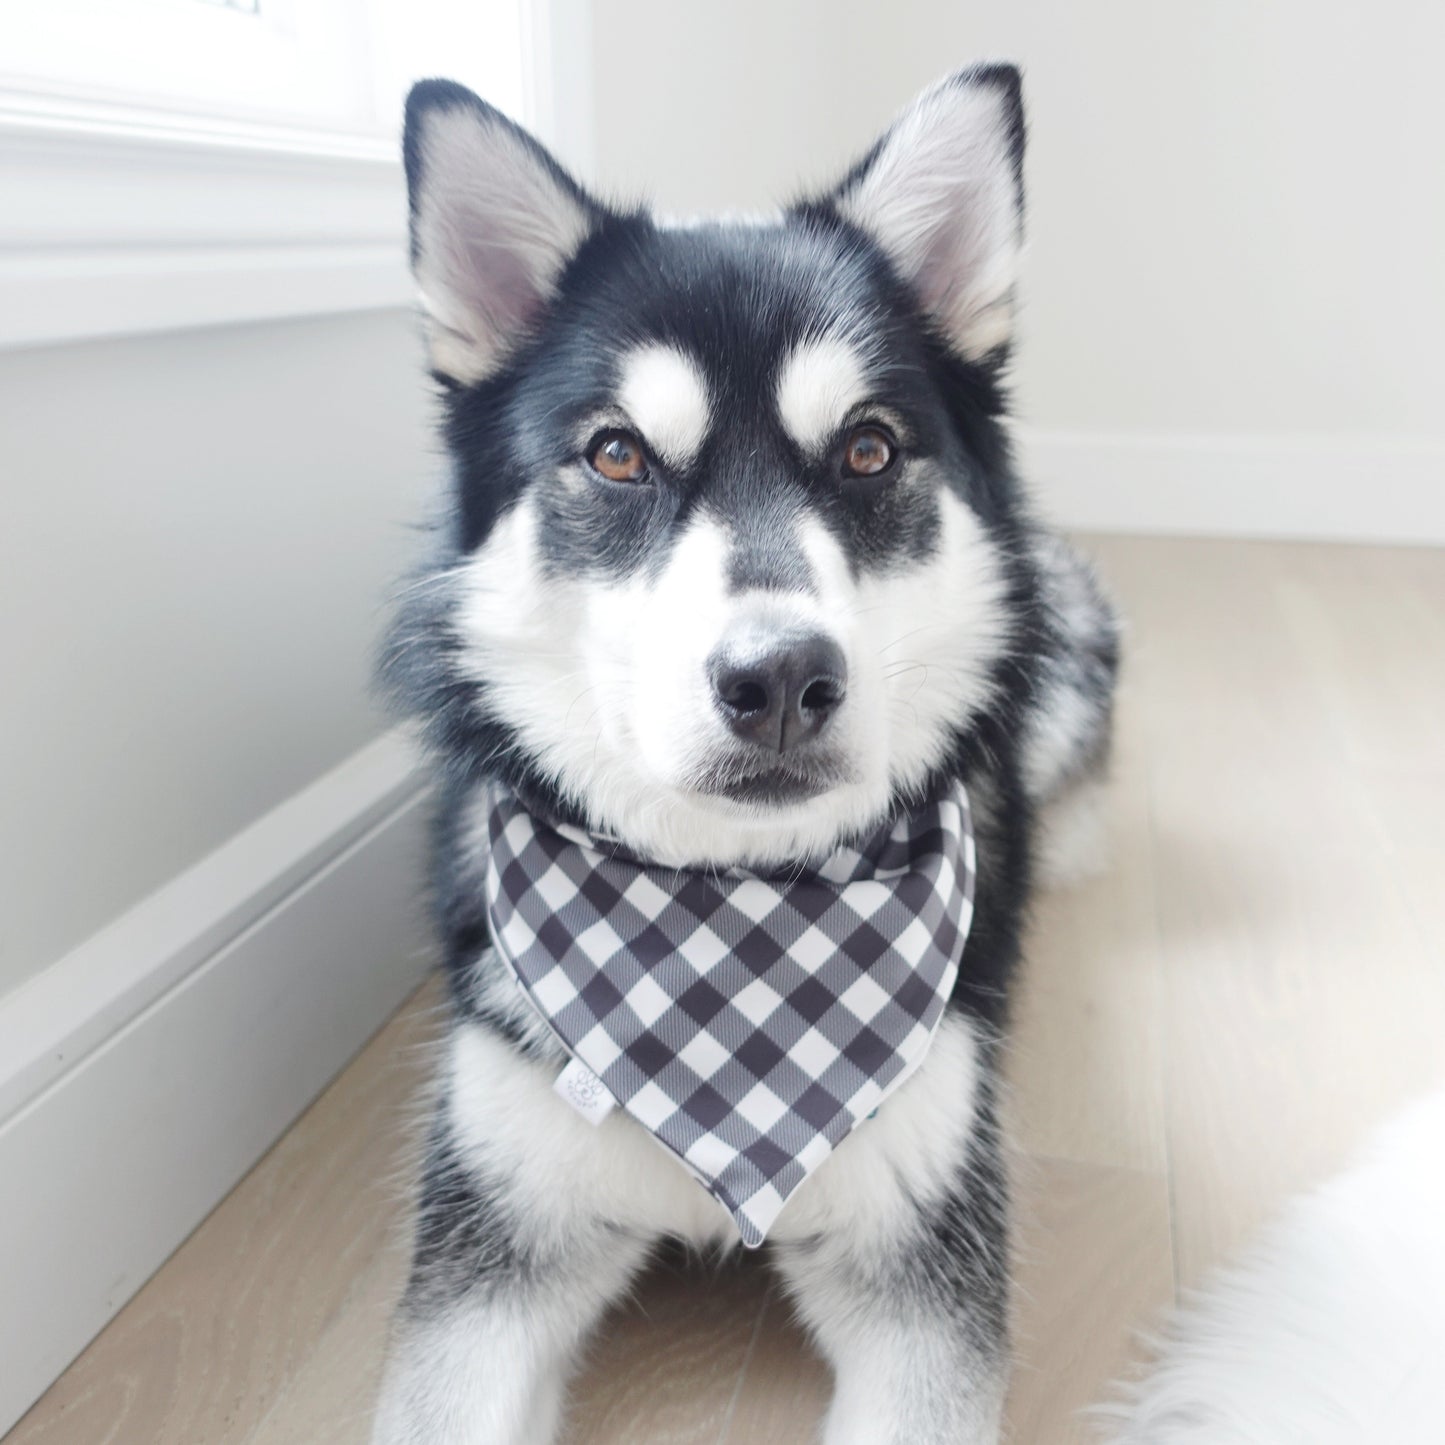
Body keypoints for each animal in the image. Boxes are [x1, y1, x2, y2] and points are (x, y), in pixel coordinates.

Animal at [372, 62, 1115, 1439]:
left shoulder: (922, 1268)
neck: (730, 916)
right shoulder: (489, 1254)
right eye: (615, 452)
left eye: (867, 446)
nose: (777, 680)